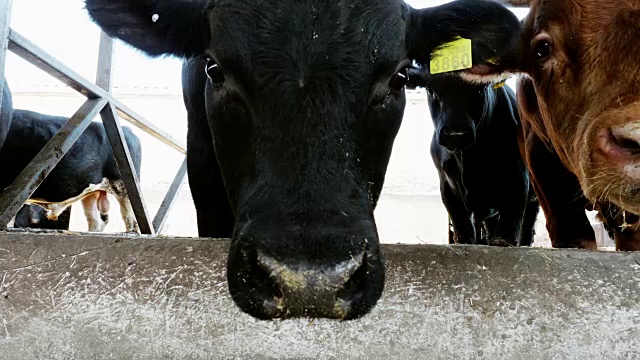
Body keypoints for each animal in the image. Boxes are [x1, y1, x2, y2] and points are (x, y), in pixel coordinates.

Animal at [408, 69, 536, 245]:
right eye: (431, 90)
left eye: (480, 89)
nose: (456, 134)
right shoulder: (446, 183)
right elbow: (461, 223)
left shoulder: (518, 177)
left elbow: (510, 220)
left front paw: (504, 242)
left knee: (528, 224)